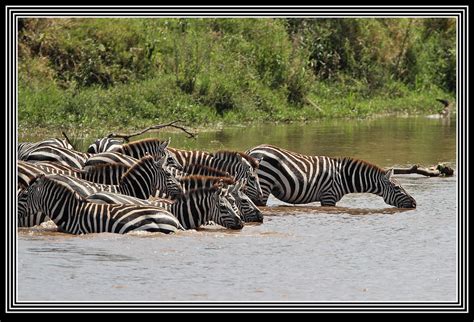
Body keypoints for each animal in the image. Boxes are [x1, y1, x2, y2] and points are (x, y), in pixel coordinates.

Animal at [246, 144, 416, 209]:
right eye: (397, 188)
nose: (415, 203)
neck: (344, 177)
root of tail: (252, 150)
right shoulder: (328, 196)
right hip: (264, 184)